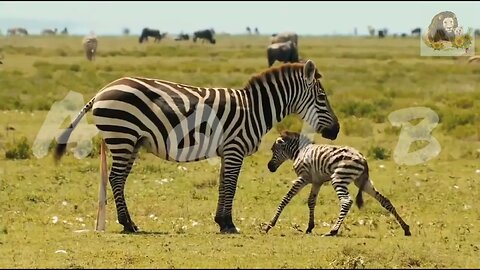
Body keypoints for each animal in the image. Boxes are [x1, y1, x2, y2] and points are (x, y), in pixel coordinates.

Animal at [264, 131, 410, 236]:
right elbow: (311, 201)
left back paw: (333, 230)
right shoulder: (317, 181)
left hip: (339, 178)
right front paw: (310, 227)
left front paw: (269, 225)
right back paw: (406, 228)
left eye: (272, 149)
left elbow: (286, 199)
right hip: (362, 182)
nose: (269, 167)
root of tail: (363, 158)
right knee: (384, 200)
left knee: (346, 201)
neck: (299, 152)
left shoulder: (303, 177)